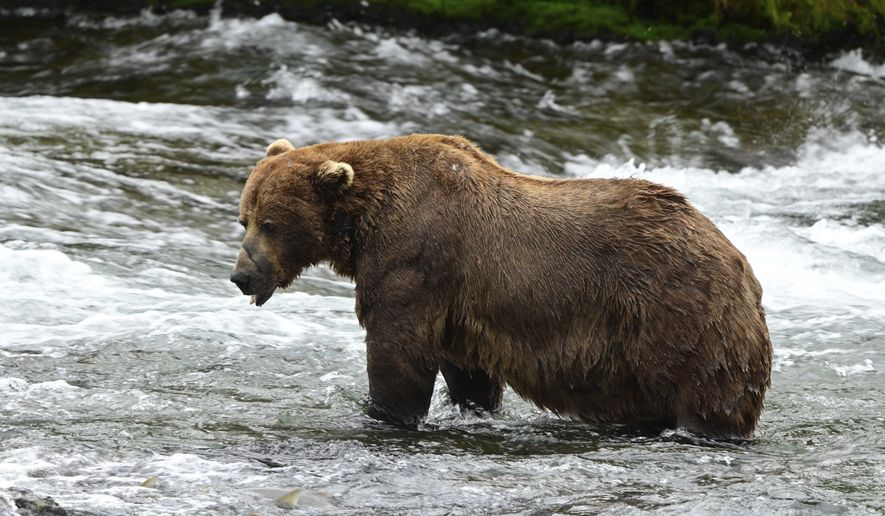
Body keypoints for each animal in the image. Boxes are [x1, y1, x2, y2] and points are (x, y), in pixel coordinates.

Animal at [230, 134, 772, 439]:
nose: (241, 275)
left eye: (271, 223)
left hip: (678, 313)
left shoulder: (414, 258)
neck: (363, 222)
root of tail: (742, 264)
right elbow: (466, 370)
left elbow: (397, 350)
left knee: (707, 393)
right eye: (244, 218)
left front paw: (383, 412)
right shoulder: (457, 303)